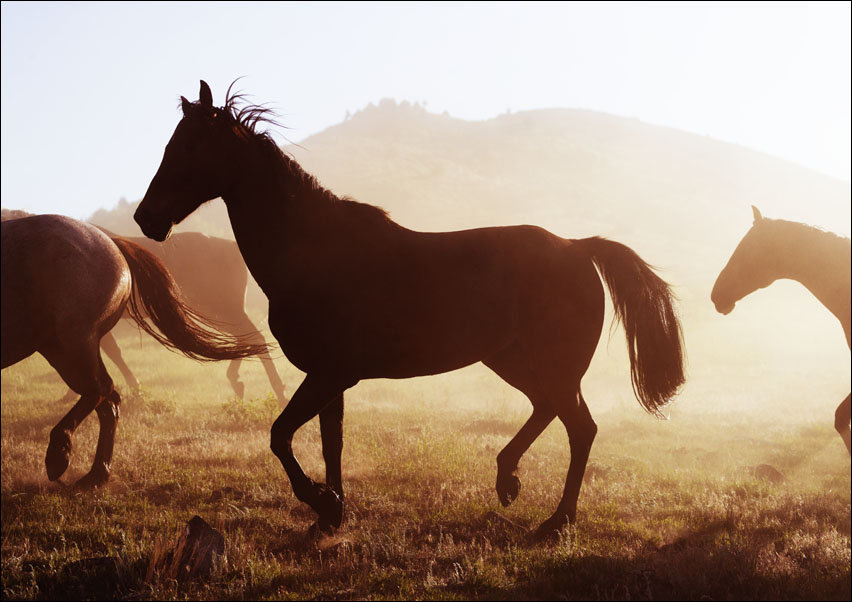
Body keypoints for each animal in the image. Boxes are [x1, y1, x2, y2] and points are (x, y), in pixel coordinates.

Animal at [1, 214, 270, 488]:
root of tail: (112, 243)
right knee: (107, 398)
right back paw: (95, 473)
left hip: (72, 343)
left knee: (101, 390)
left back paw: (60, 455)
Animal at [134, 80, 685, 541]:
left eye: (189, 146)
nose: (145, 218)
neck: (313, 252)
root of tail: (577, 247)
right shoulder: (331, 378)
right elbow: (329, 442)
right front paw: (332, 513)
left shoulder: (329, 374)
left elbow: (280, 435)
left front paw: (321, 502)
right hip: (512, 360)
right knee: (552, 412)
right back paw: (508, 480)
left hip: (550, 366)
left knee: (580, 427)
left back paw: (555, 518)